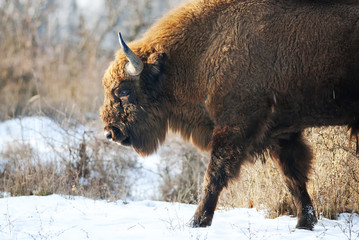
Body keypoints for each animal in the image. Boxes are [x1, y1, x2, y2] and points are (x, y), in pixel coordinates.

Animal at [100, 0, 359, 231]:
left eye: (122, 90)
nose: (111, 132)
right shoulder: (282, 133)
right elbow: (293, 177)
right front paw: (304, 223)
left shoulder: (235, 127)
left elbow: (214, 175)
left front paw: (197, 222)